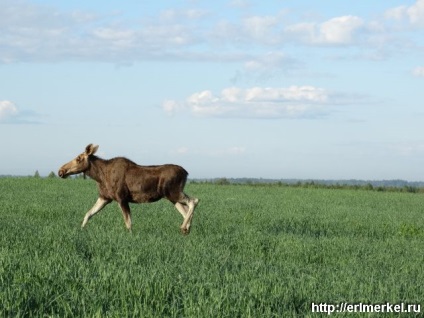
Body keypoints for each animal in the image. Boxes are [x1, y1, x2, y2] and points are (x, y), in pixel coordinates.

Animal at [56, 144, 200, 234]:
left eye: (78, 158)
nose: (61, 171)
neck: (100, 176)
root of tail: (186, 173)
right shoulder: (104, 197)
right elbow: (88, 214)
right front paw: (81, 230)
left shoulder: (121, 198)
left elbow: (128, 223)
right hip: (172, 197)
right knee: (186, 210)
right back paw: (187, 229)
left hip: (173, 193)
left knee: (194, 201)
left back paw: (184, 227)